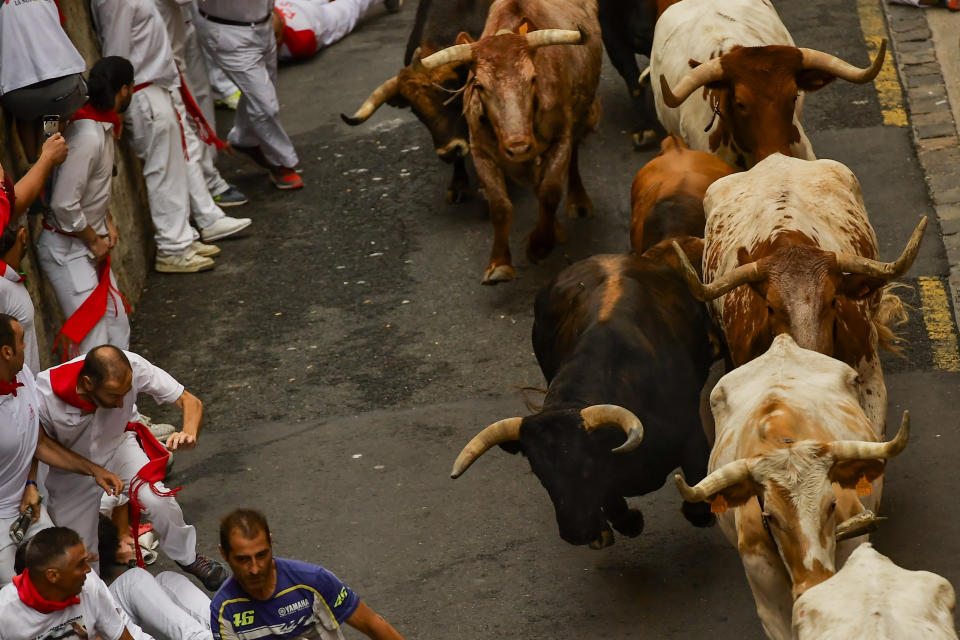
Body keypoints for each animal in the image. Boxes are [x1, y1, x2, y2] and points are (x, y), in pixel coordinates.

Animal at [420, 0, 600, 282]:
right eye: (479, 86)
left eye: (533, 78)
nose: (518, 147)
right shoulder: (481, 151)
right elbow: (500, 206)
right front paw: (499, 264)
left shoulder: (562, 137)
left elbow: (549, 191)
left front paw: (540, 244)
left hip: (581, 118)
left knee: (571, 164)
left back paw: (578, 203)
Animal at [454, 248, 716, 548]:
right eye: (540, 474)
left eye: (586, 467)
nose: (574, 533)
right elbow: (615, 505)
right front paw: (616, 525)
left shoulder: (691, 434)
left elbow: (697, 498)